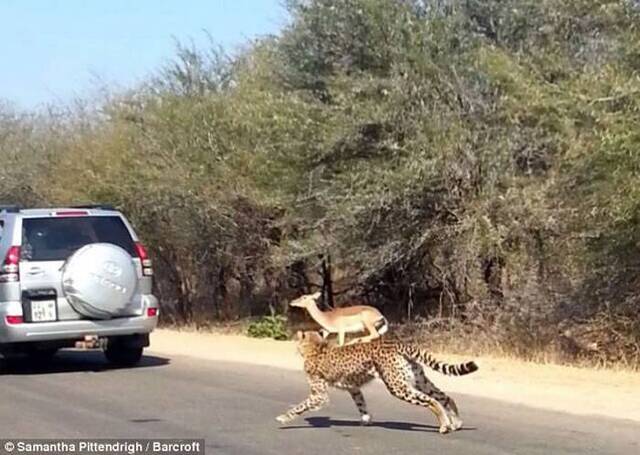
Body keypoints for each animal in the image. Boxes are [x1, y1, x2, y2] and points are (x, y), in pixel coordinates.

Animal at [276, 332, 480, 434]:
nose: (294, 337)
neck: (317, 347)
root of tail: (393, 342)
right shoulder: (353, 388)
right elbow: (361, 405)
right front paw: (366, 420)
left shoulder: (319, 395)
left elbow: (300, 406)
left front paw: (284, 418)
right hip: (419, 380)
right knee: (445, 397)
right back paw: (456, 423)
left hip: (397, 386)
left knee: (432, 401)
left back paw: (444, 425)